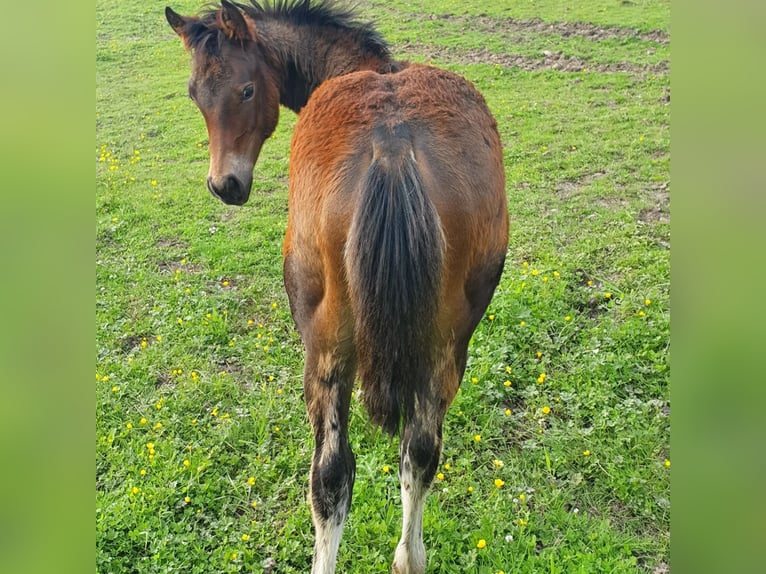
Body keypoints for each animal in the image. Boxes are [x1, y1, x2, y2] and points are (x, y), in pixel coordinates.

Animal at [164, 2, 508, 572]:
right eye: (195, 94)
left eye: (247, 91)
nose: (224, 185)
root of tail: (392, 144)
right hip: (447, 343)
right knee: (420, 448)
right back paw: (409, 557)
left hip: (324, 348)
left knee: (329, 473)